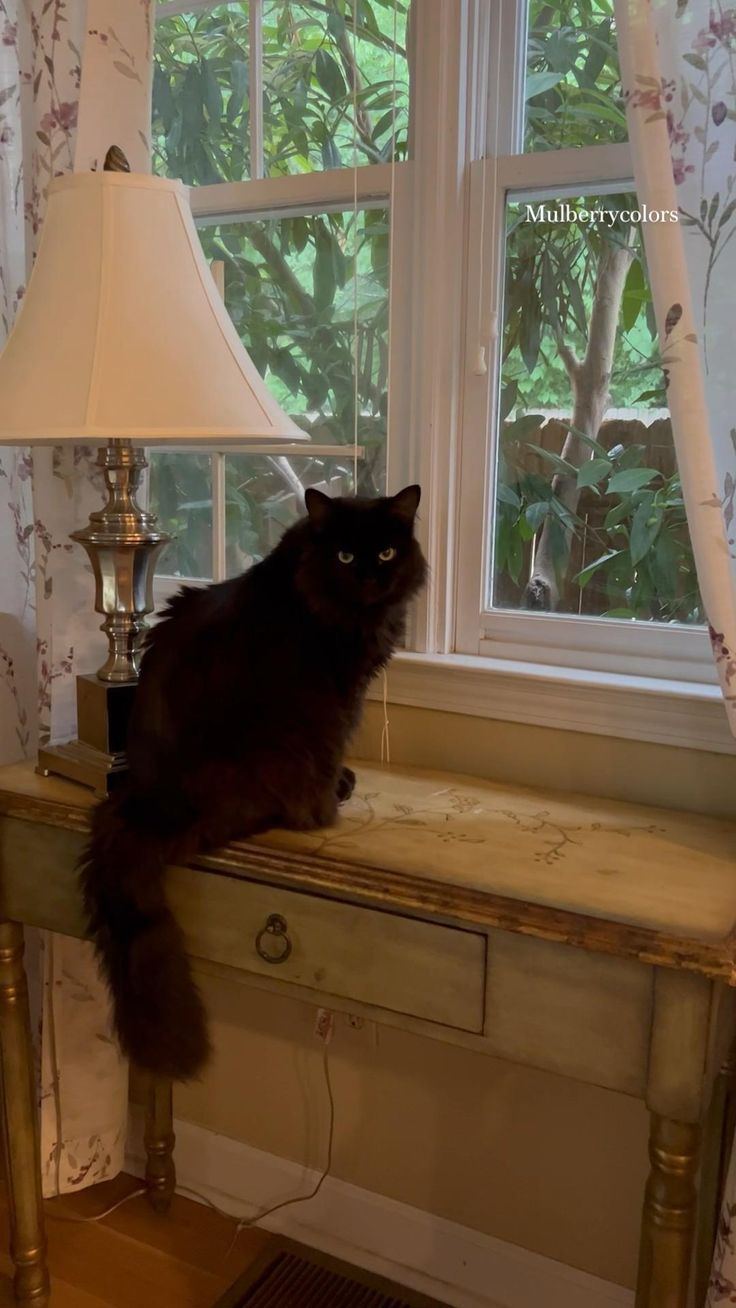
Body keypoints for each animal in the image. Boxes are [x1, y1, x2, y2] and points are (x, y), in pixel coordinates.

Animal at [80, 486, 426, 1077]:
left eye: (385, 553)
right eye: (344, 557)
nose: (368, 579)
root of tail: (146, 802)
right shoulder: (334, 701)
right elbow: (331, 752)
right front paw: (331, 801)